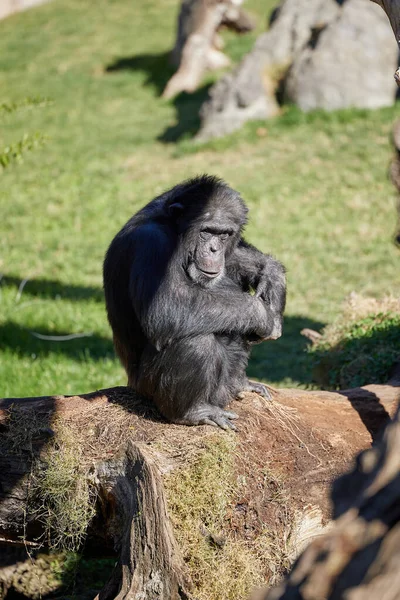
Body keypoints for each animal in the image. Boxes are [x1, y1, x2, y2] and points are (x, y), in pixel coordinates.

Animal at [103, 176, 284, 428]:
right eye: (206, 232)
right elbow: (166, 307)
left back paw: (241, 383)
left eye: (225, 234)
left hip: (222, 391)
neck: (174, 229)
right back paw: (194, 411)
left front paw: (272, 277)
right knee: (196, 342)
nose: (214, 249)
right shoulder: (151, 243)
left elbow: (234, 259)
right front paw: (263, 315)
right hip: (147, 389)